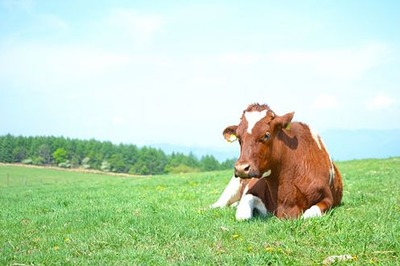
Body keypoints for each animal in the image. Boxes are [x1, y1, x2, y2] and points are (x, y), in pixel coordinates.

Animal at [209, 103, 344, 220]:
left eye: (266, 135)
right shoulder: (250, 190)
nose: (241, 168)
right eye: (238, 138)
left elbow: (308, 214)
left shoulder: (327, 198)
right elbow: (242, 215)